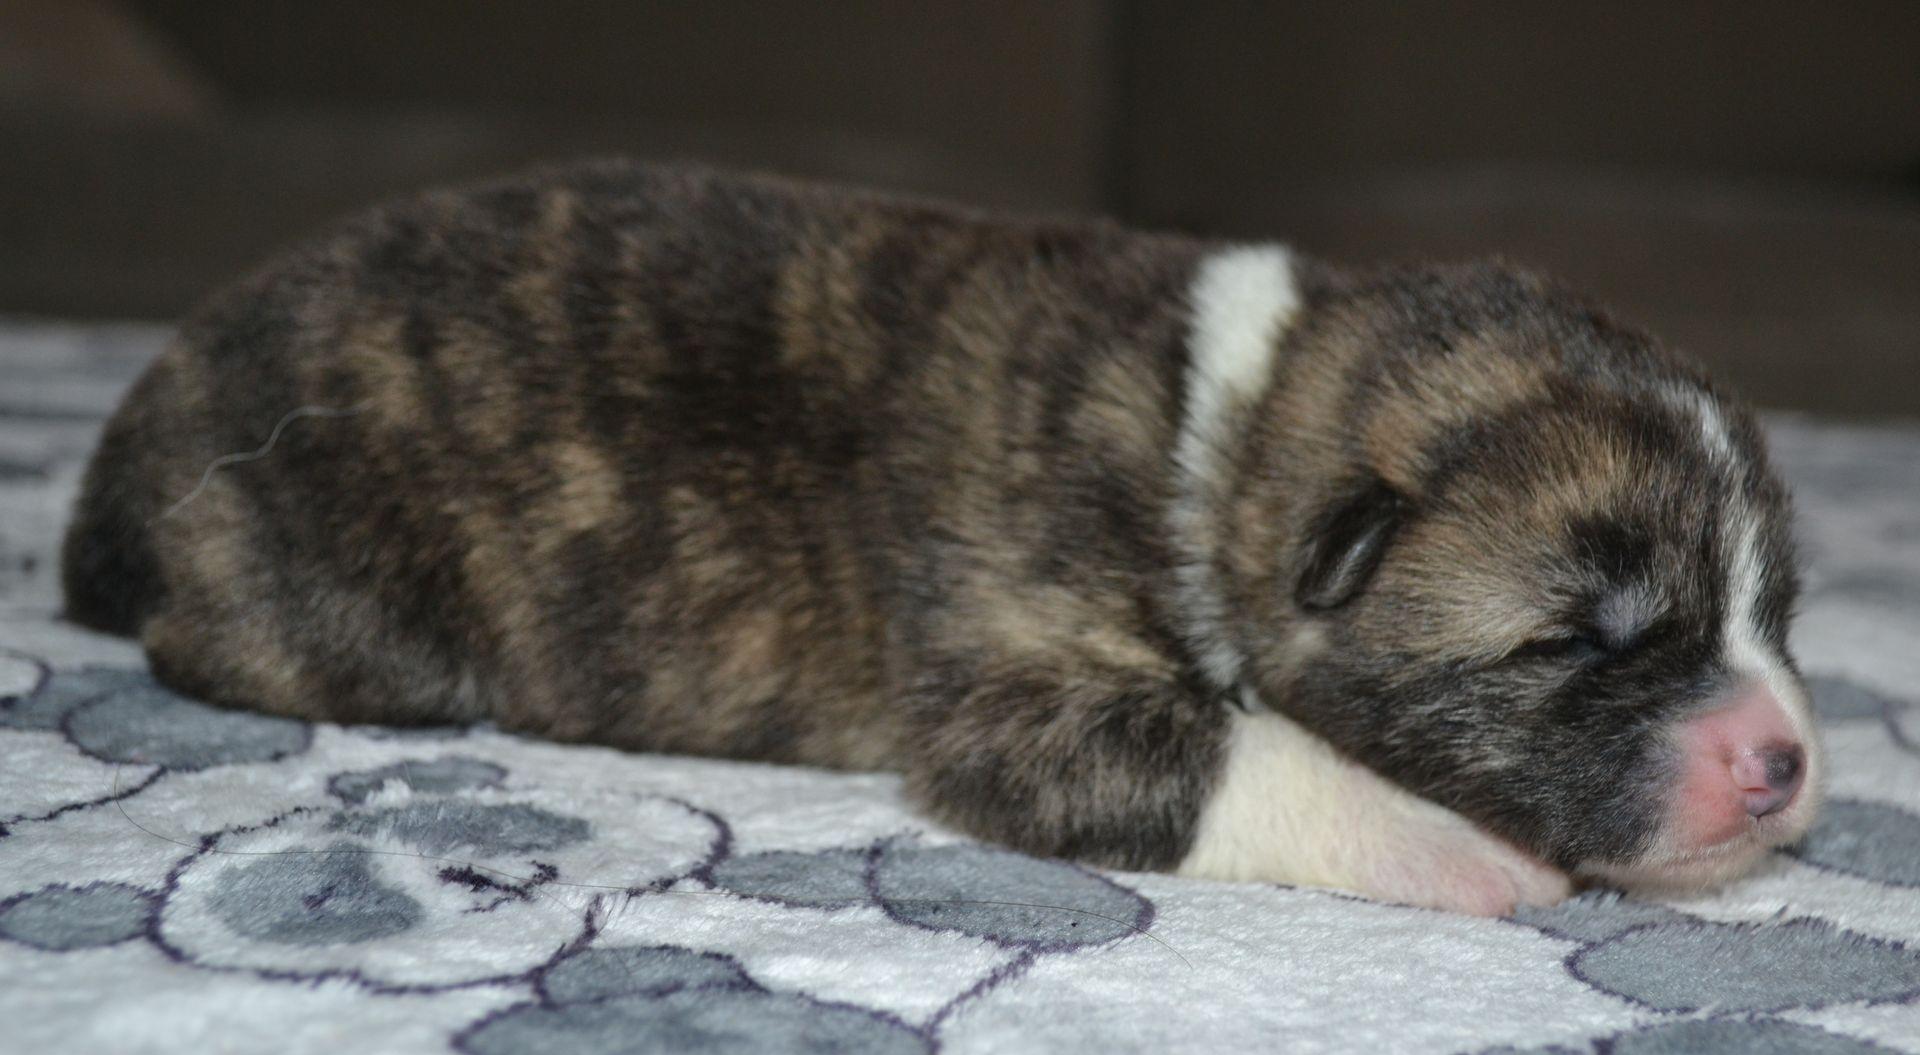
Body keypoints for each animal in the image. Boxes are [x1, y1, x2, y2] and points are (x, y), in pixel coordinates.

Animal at [62, 161, 1821, 915]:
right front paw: (1463, 849)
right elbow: (1251, 753)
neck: (1232, 429)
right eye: (1582, 637)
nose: (1785, 760)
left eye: (1778, 610)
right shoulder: (1023, 684)